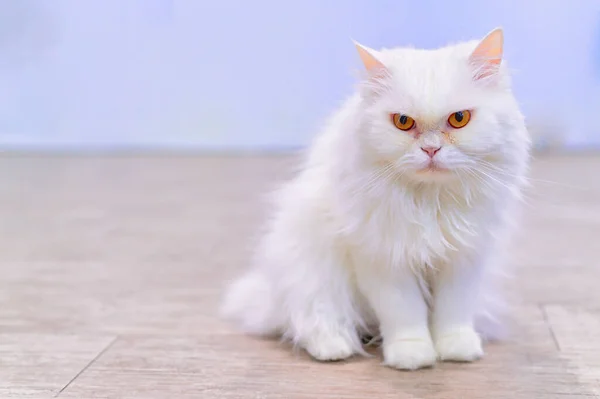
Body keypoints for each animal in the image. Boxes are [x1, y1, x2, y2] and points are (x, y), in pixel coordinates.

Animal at [224, 28, 528, 372]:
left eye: (459, 118)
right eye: (403, 122)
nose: (431, 149)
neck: (429, 201)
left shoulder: (464, 257)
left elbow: (454, 311)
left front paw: (457, 350)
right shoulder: (382, 257)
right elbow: (404, 313)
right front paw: (412, 356)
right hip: (312, 271)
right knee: (314, 320)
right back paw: (335, 348)